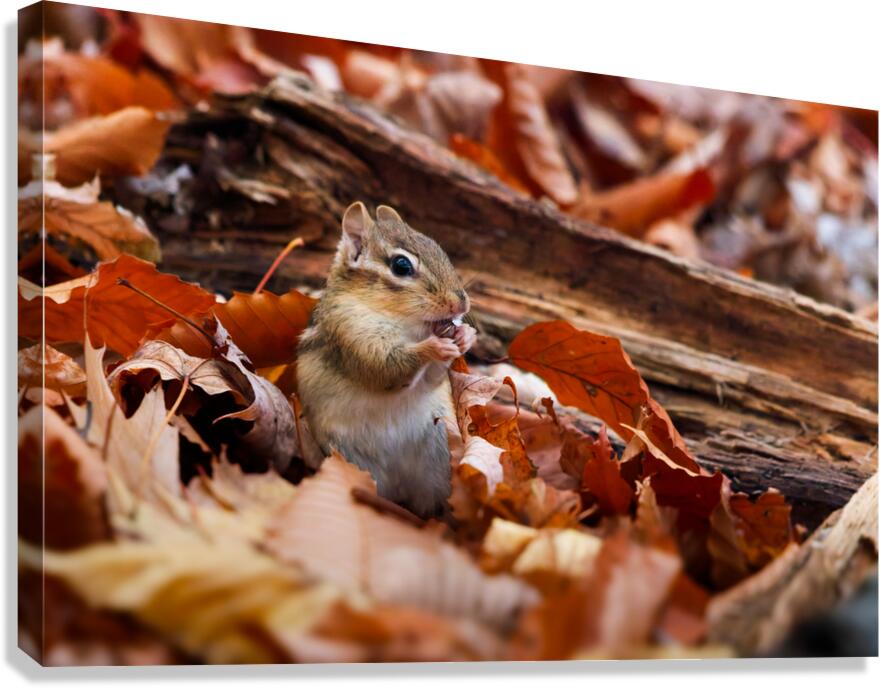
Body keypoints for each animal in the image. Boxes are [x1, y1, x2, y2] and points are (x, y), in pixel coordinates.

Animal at [296, 202, 477, 519]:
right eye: (401, 266)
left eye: (438, 246)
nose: (461, 302)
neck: (405, 324)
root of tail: (398, 488)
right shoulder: (351, 333)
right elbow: (385, 368)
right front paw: (433, 347)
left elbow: (430, 380)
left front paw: (465, 336)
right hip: (349, 456)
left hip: (438, 450)